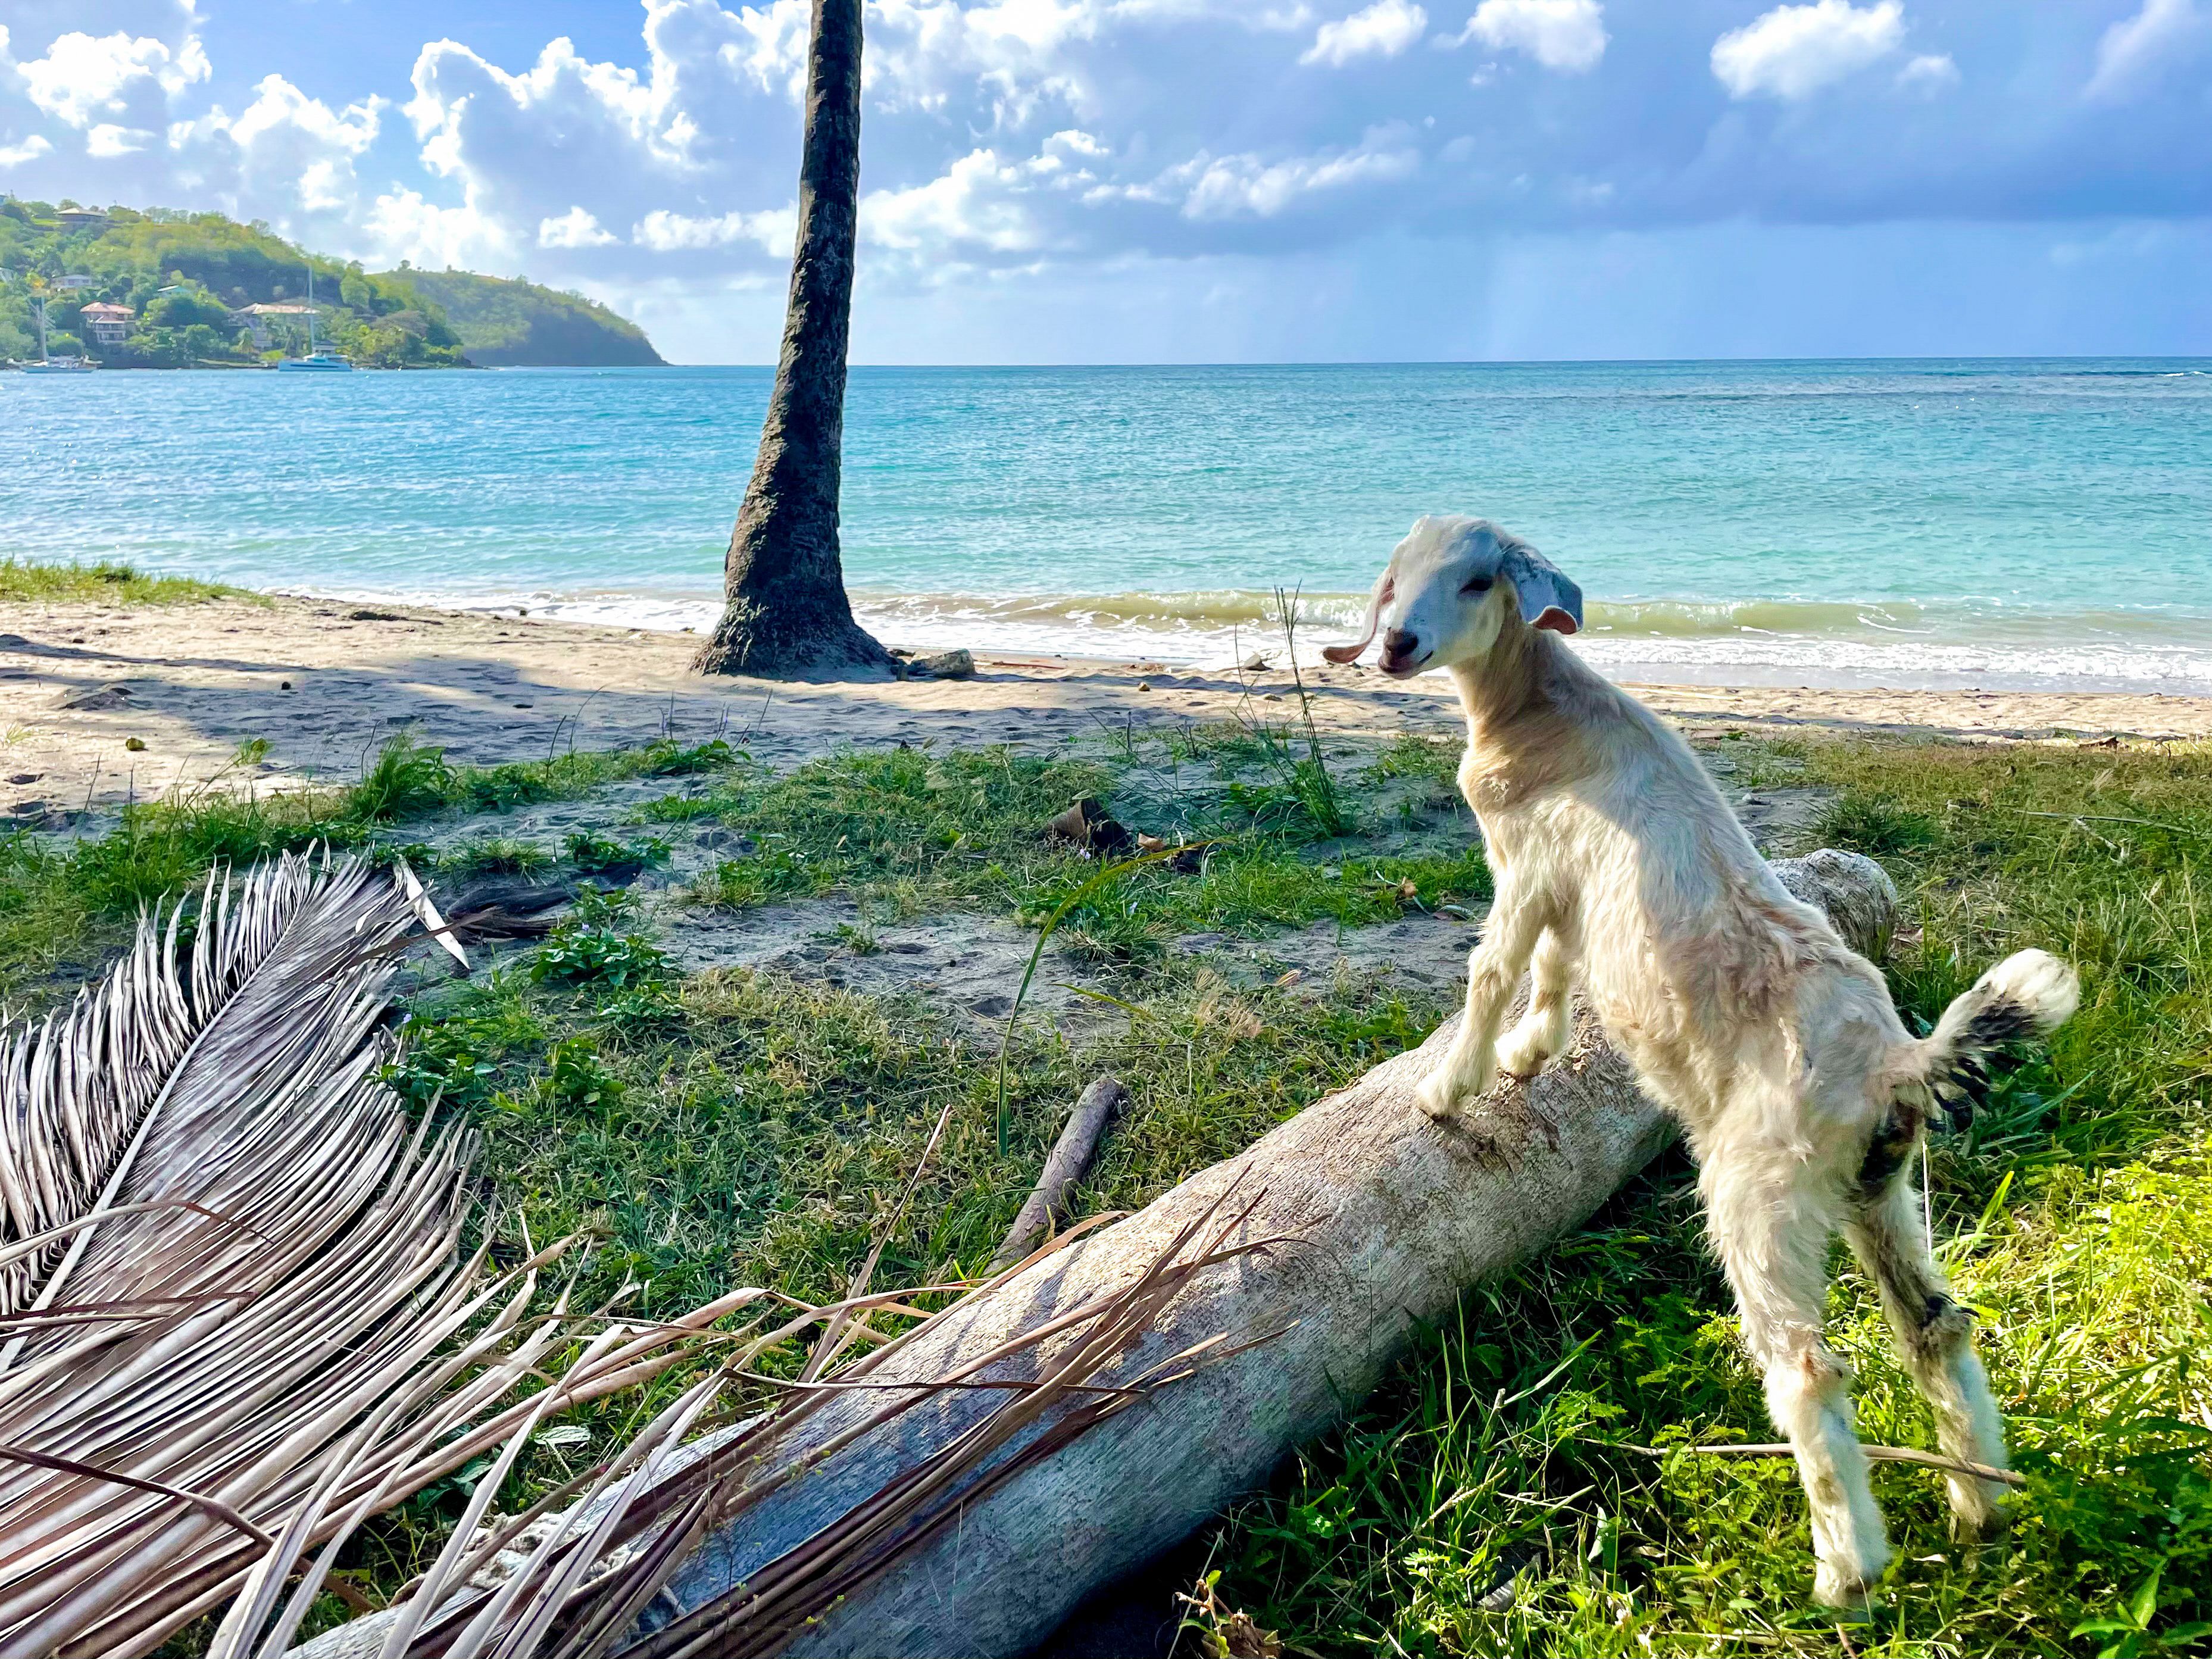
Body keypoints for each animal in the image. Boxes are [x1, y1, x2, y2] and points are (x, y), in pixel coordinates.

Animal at [1325, 515, 2079, 1606]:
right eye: (1397, 578)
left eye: (1474, 581)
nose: (1394, 647)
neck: (1543, 706)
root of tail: (1896, 1062)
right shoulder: (1567, 890)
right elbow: (1553, 969)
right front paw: (1530, 1053)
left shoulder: (1526, 867)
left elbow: (1492, 968)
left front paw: (1446, 1088)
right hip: (1881, 1193)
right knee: (1937, 1325)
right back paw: (1980, 1500)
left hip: (1756, 1195)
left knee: (1809, 1372)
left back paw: (1846, 1569)